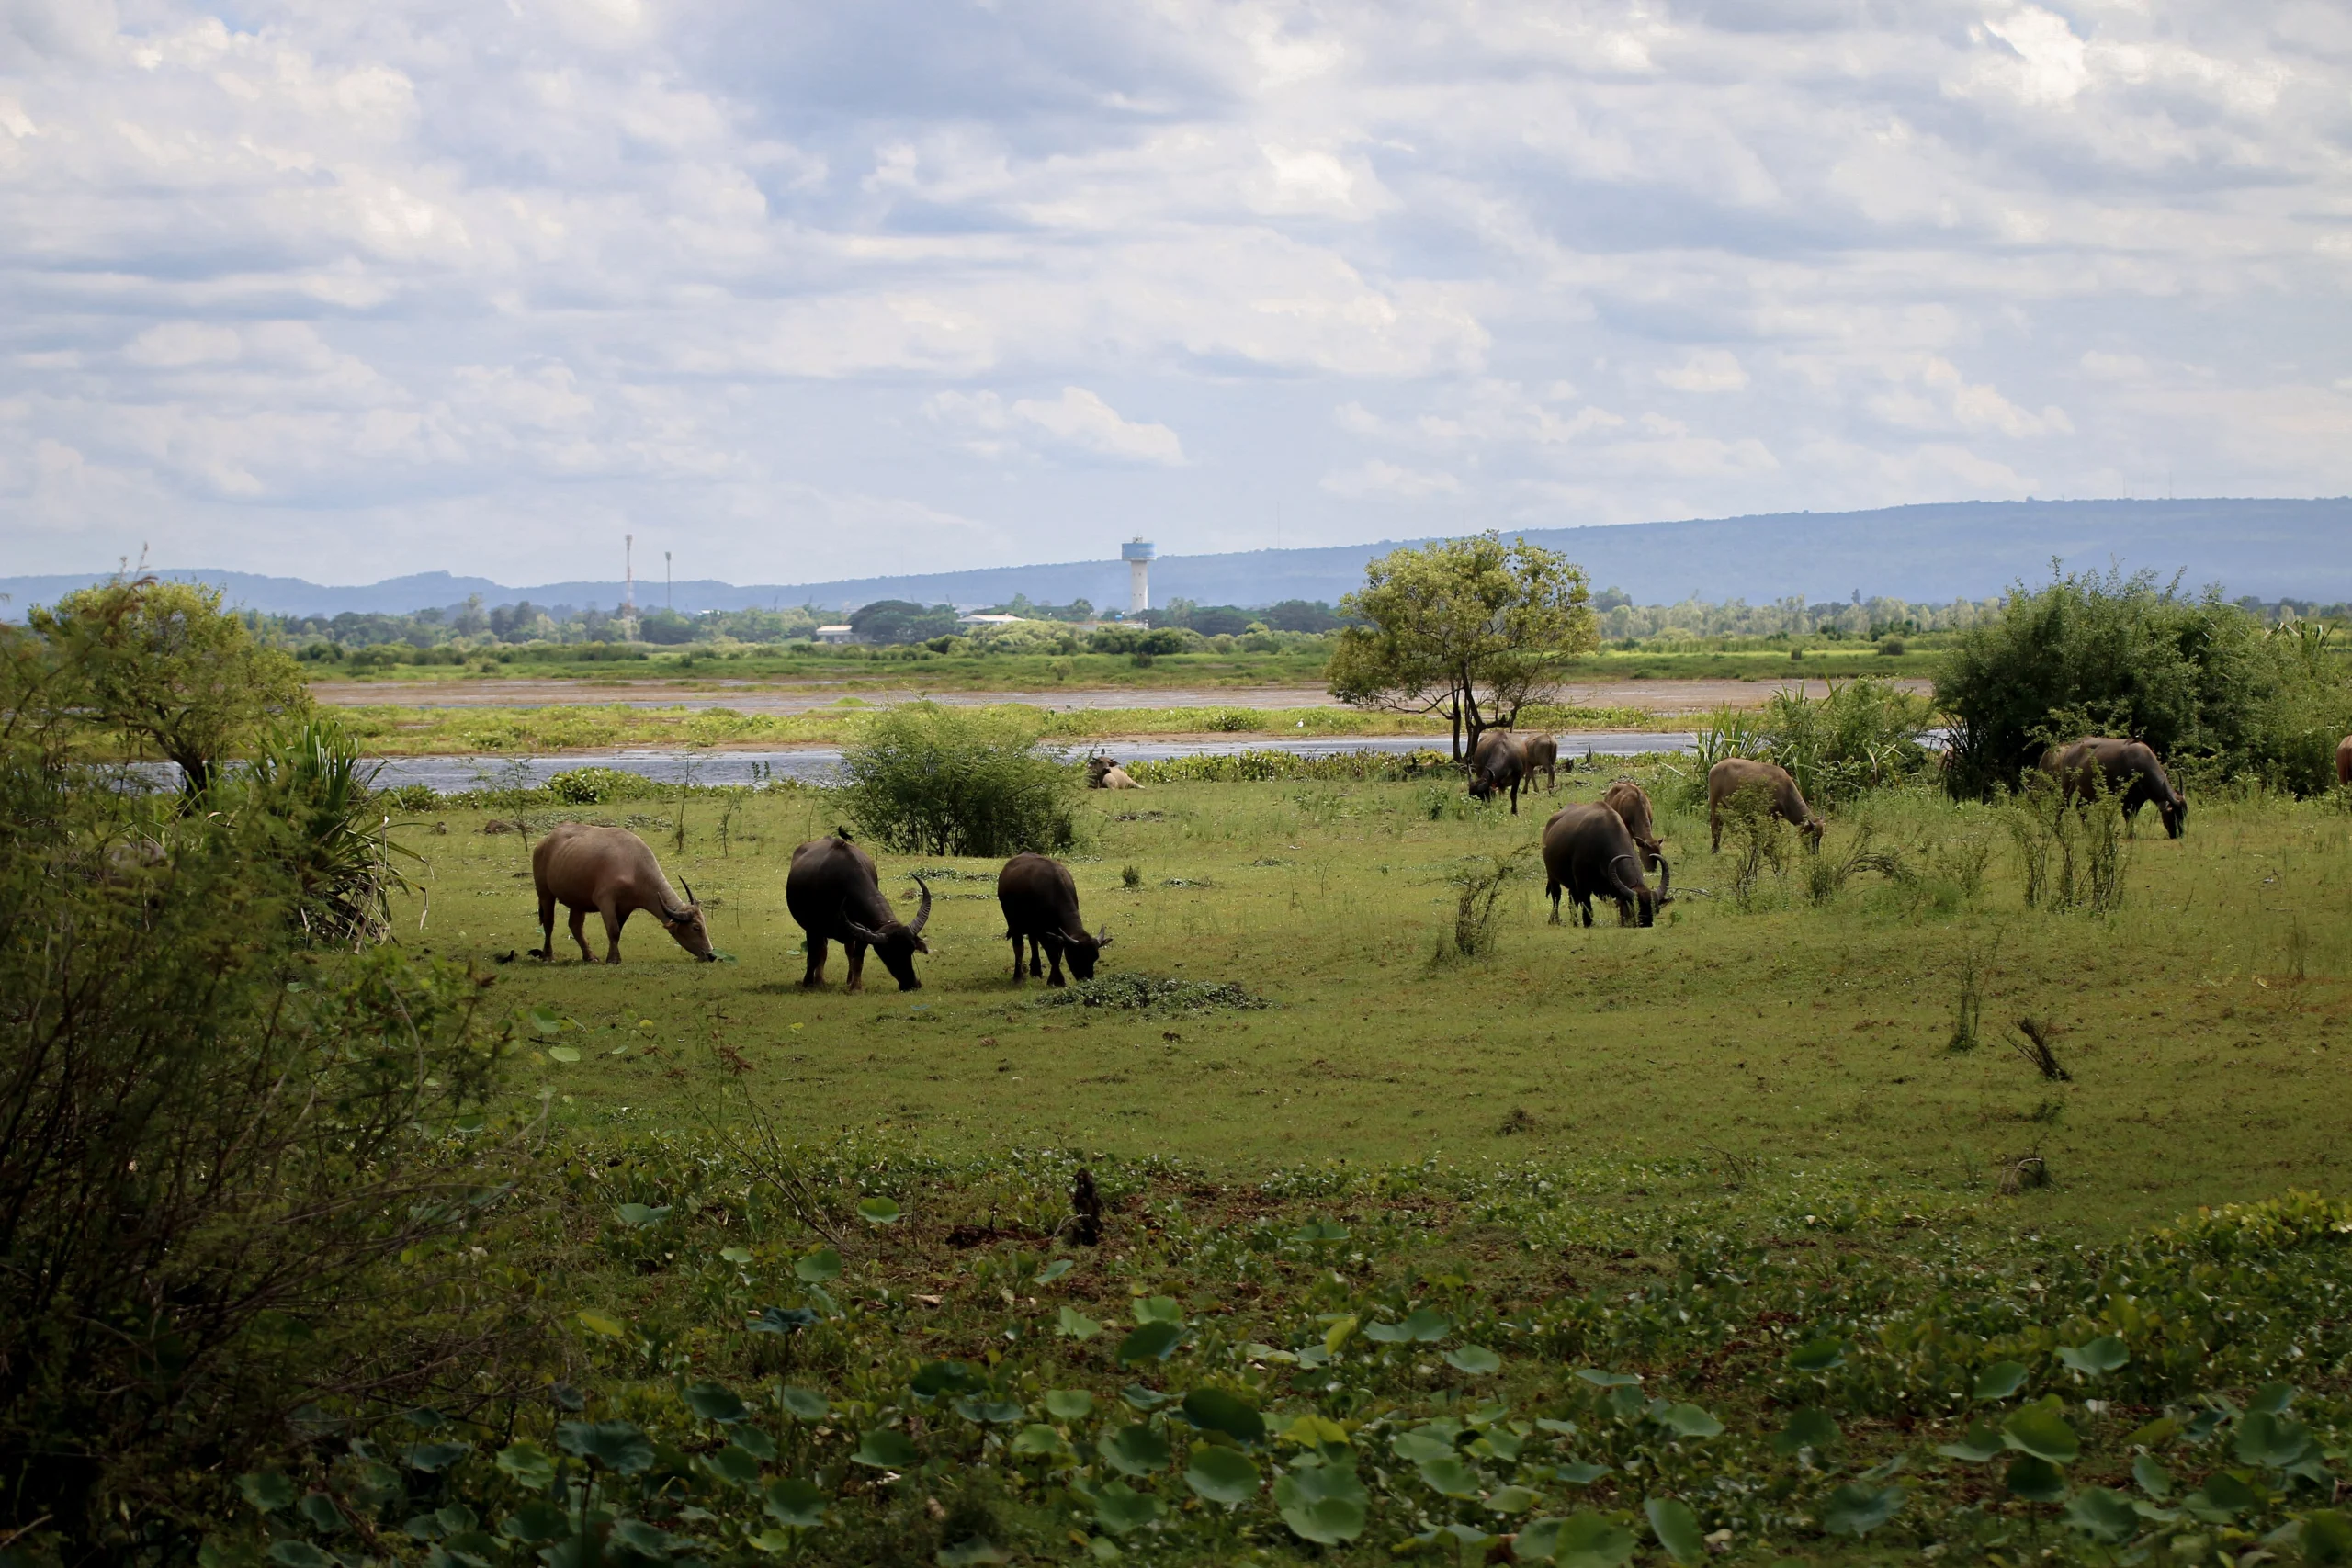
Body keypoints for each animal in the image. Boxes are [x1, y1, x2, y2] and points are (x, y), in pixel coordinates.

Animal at [532, 823, 713, 964]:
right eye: (696, 927)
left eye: (705, 924)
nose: (711, 955)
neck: (635, 867)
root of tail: (544, 841)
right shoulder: (605, 900)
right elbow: (613, 930)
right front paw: (614, 959)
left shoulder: (626, 907)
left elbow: (618, 931)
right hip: (544, 892)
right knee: (549, 923)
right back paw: (548, 956)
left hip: (577, 900)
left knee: (575, 925)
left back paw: (589, 956)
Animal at [785, 833, 932, 992]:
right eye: (888, 954)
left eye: (911, 949)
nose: (911, 984)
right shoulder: (813, 928)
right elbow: (813, 956)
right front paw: (807, 983)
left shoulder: (864, 933)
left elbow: (858, 959)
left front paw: (856, 986)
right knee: (822, 951)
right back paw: (819, 981)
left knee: (848, 951)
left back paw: (847, 979)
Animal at [997, 852, 1112, 986]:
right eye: (1077, 956)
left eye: (1095, 958)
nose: (1086, 979)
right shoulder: (1042, 930)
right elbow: (1051, 952)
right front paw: (1057, 980)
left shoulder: (1058, 932)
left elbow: (1058, 950)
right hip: (1013, 922)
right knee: (1019, 947)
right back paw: (1018, 976)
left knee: (1033, 943)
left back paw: (1036, 971)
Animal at [1543, 802, 1672, 927]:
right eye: (1633, 909)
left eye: (1656, 910)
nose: (1646, 925)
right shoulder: (1583, 885)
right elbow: (1588, 914)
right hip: (1552, 875)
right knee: (1556, 896)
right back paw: (1554, 920)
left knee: (1572, 901)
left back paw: (1574, 922)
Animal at [2039, 736, 2187, 838]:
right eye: (2173, 815)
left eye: (2183, 815)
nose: (2179, 834)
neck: (2140, 765)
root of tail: (2070, 749)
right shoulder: (2127, 797)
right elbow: (2127, 814)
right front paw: (2130, 834)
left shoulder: (2139, 798)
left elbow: (2133, 815)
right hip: (2067, 784)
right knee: (2061, 804)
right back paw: (2057, 830)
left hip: (2087, 792)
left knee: (2080, 807)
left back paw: (2089, 831)